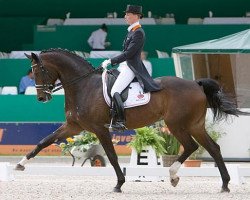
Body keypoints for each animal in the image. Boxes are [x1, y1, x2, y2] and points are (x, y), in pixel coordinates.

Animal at [16, 48, 248, 192]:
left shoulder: (99, 129)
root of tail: (195, 84)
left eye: (38, 70)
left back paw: (173, 175)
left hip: (177, 124)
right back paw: (224, 185)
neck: (83, 86)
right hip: (194, 124)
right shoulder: (73, 126)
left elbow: (111, 156)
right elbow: (43, 141)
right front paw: (20, 164)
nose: (41, 98)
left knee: (191, 146)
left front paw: (119, 184)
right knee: (213, 148)